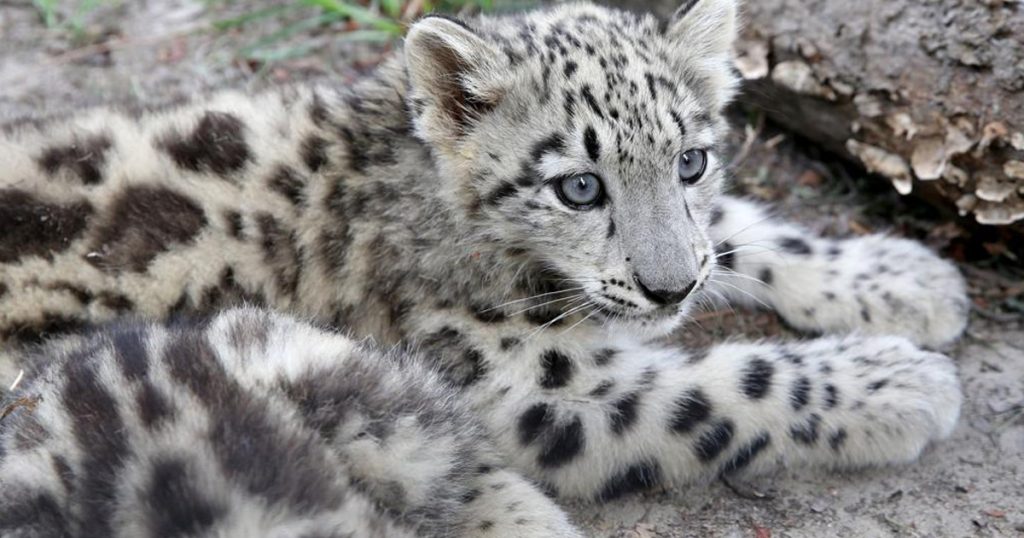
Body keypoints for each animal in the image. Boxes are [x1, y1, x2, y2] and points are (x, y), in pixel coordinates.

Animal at [0, 2, 966, 532]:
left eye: (691, 161)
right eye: (579, 185)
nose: (671, 288)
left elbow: (739, 230)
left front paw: (906, 281)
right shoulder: (536, 389)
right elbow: (725, 392)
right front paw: (901, 383)